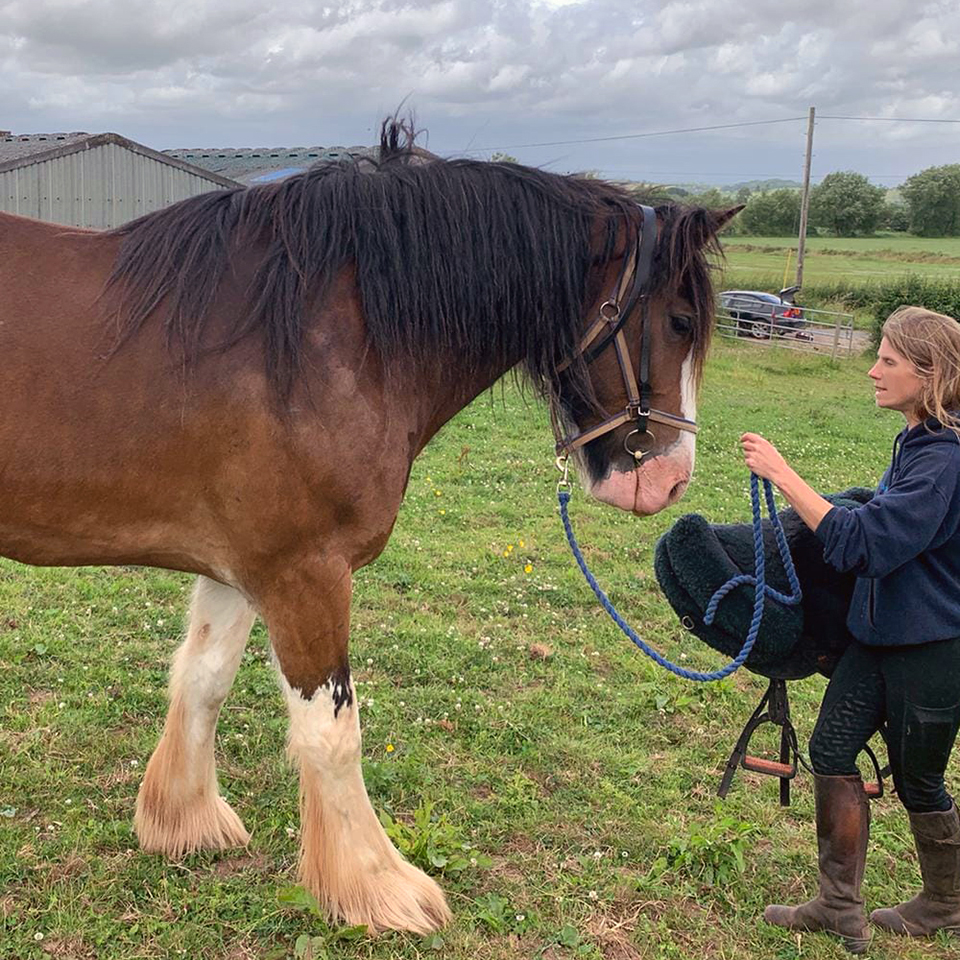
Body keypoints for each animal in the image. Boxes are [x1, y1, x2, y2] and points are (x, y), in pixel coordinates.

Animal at [1, 122, 736, 936]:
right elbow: (331, 734)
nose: (670, 480)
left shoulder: (240, 567)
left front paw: (183, 822)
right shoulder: (305, 572)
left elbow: (202, 679)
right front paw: (374, 885)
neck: (326, 338)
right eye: (678, 322)